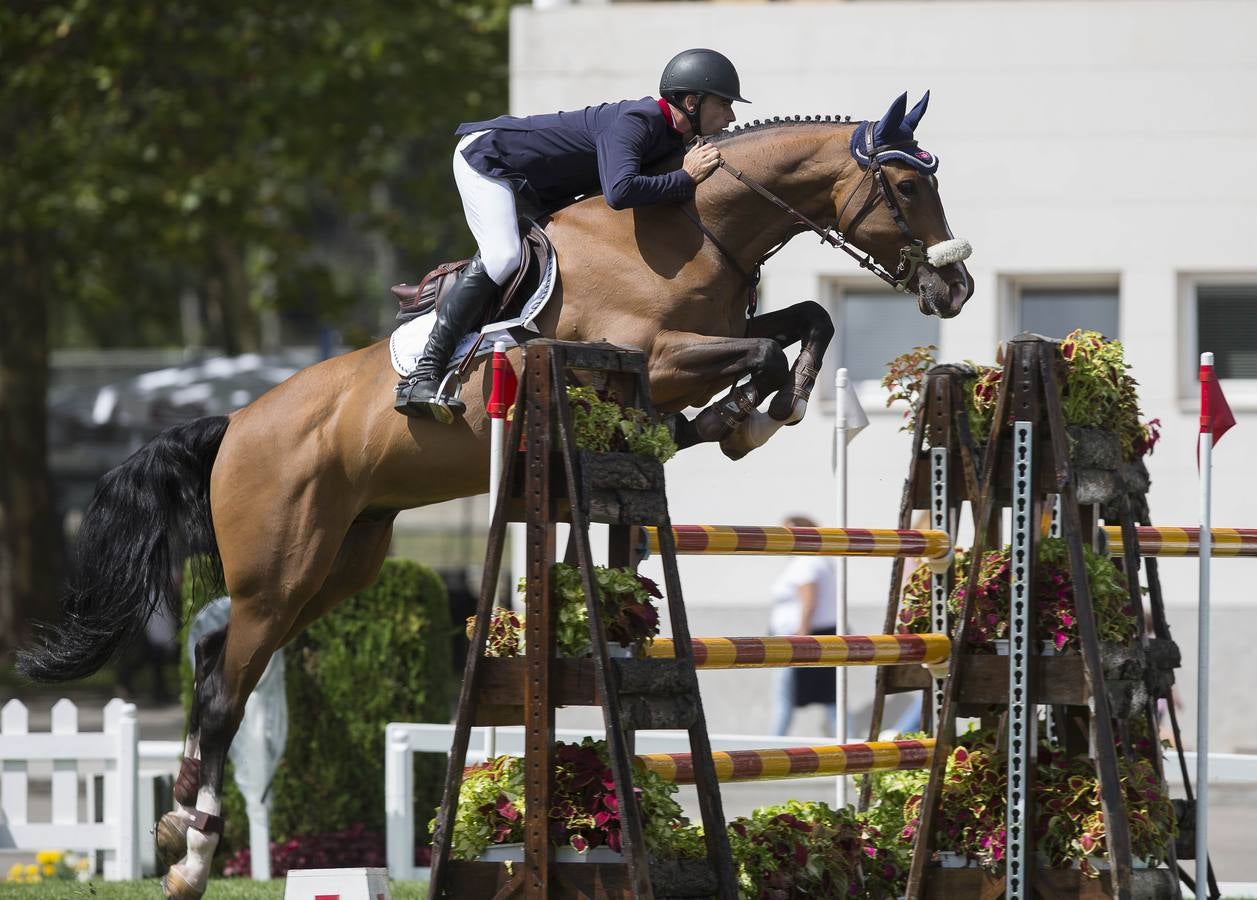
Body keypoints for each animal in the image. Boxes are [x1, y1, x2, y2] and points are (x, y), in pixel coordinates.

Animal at [17, 93, 970, 900]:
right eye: (907, 184)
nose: (954, 287)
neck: (696, 226)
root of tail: (237, 423)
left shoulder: (704, 340)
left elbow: (806, 322)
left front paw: (755, 416)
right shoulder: (655, 357)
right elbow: (764, 352)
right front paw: (738, 421)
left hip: (336, 565)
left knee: (221, 659)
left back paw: (178, 820)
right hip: (278, 571)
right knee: (223, 691)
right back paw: (194, 856)